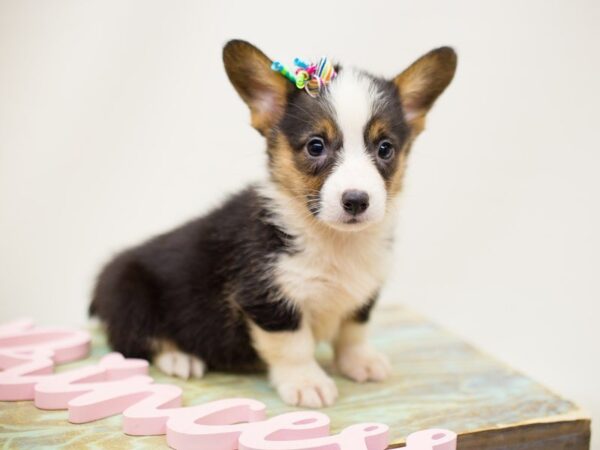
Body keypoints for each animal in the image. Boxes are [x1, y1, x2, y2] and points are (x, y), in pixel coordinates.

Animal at [88, 39, 454, 408]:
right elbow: (293, 346)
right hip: (130, 294)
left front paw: (360, 362)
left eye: (385, 148)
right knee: (135, 341)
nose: (356, 200)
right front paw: (307, 382)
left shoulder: (365, 292)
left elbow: (354, 330)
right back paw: (181, 358)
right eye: (316, 146)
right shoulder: (267, 298)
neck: (334, 240)